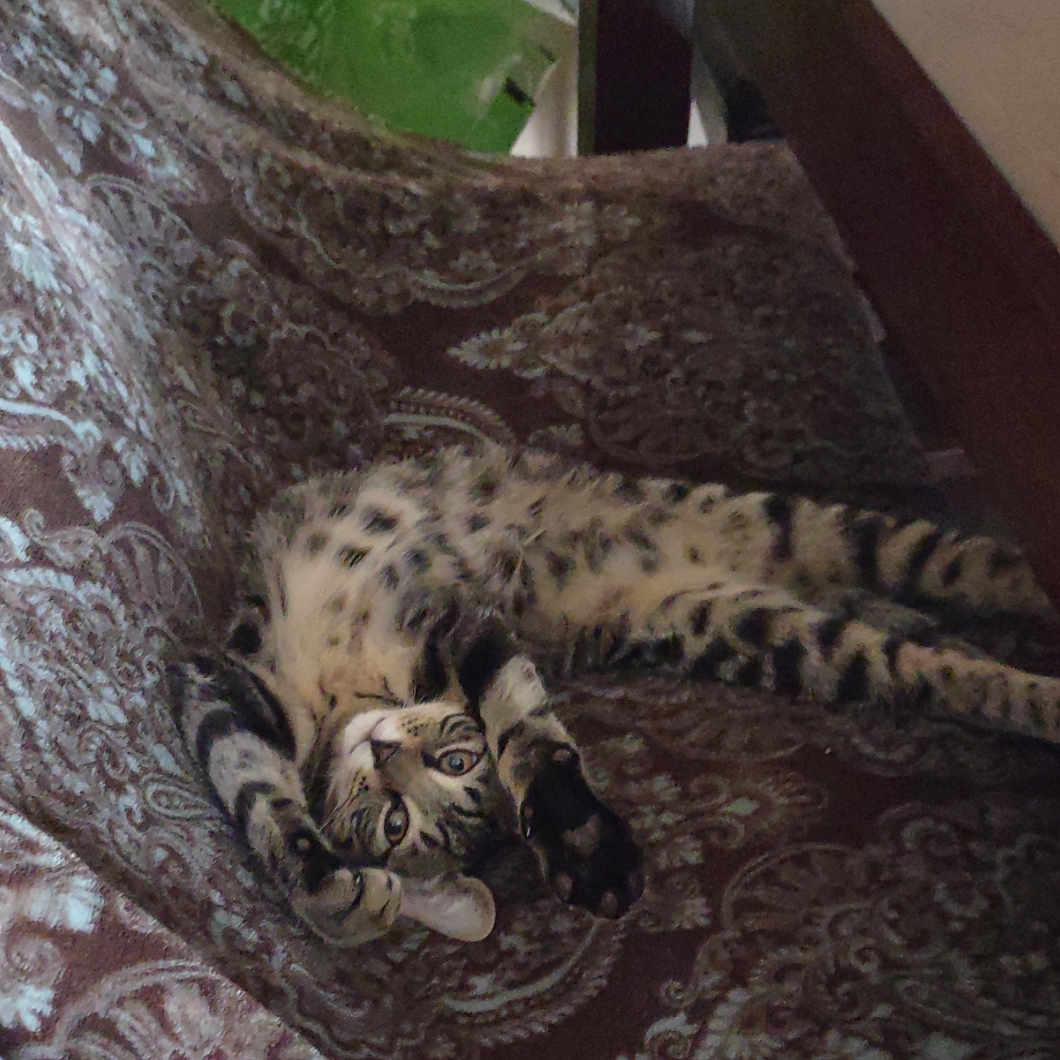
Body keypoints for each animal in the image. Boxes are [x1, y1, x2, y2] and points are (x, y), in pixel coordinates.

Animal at [168, 443, 1060, 946]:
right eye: (393, 822)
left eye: (456, 761)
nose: (385, 752)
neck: (354, 693)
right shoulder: (219, 684)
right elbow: (253, 789)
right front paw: (327, 891)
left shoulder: (459, 618)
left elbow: (524, 728)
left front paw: (581, 841)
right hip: (758, 631)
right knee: (932, 667)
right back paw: (1026, 695)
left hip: (821, 530)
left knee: (982, 567)